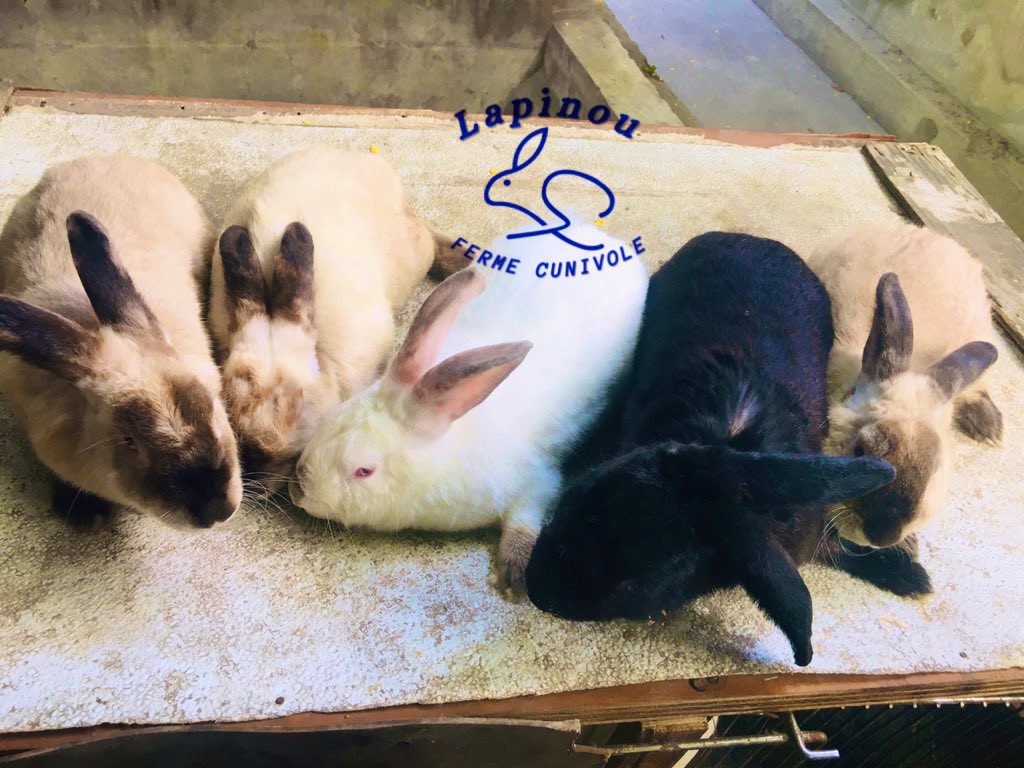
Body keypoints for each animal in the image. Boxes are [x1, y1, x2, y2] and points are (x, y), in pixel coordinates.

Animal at [290, 222, 649, 588]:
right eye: (331, 419)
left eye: (363, 470)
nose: (297, 489)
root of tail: (600, 237)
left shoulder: (537, 481)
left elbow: (527, 514)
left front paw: (515, 571)